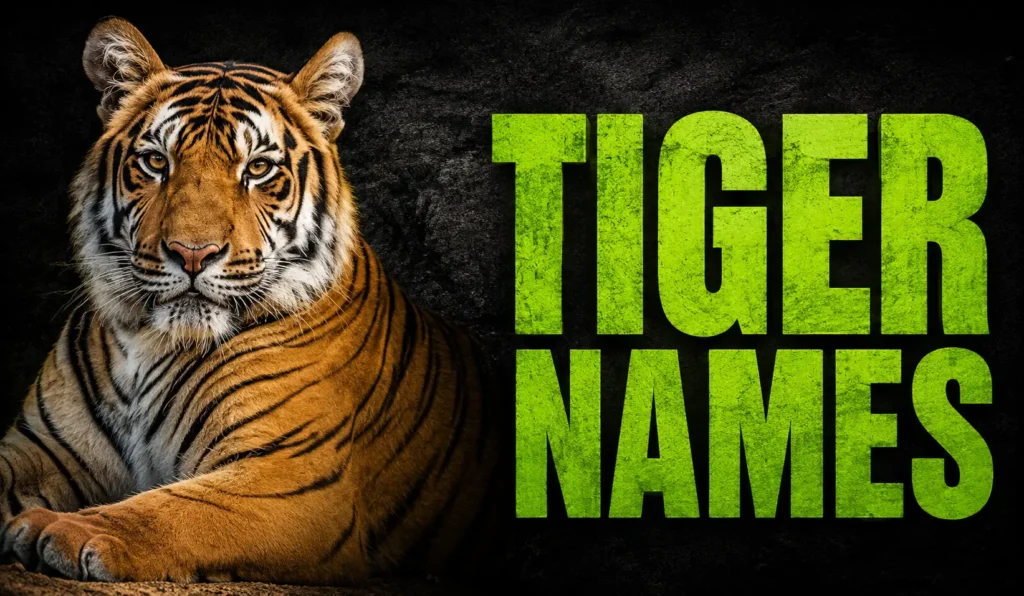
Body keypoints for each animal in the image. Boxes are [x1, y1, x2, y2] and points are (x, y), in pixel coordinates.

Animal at [0, 16, 501, 585]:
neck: (151, 343)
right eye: (155, 162)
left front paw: (66, 529)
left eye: (258, 169)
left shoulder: (290, 477)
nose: (192, 253)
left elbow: (175, 510)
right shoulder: (40, 449)